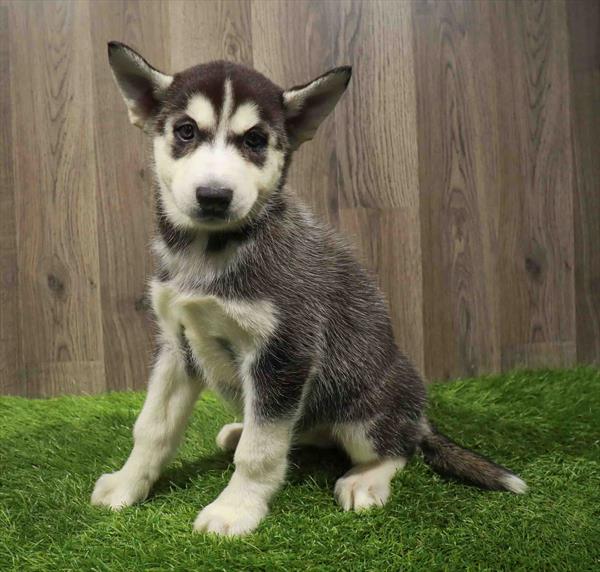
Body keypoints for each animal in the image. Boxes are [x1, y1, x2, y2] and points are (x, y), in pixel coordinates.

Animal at [90, 41, 524, 536]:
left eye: (255, 140)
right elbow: (152, 428)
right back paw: (242, 429)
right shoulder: (176, 345)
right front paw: (127, 485)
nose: (214, 196)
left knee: (396, 449)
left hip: (366, 411)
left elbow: (259, 453)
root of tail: (418, 418)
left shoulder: (285, 353)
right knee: (295, 431)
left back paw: (365, 478)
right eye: (185, 131)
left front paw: (235, 510)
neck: (210, 252)